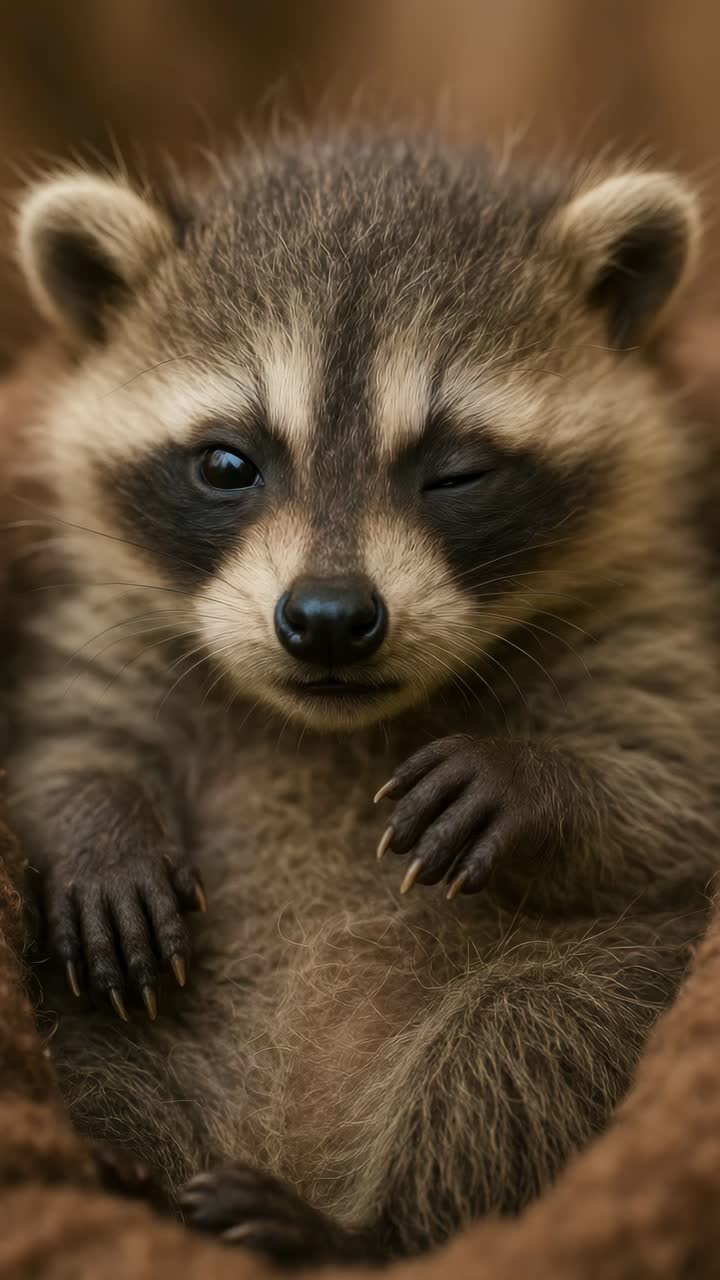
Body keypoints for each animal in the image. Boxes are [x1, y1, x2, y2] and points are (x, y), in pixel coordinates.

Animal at [7, 130, 720, 1265]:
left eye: (457, 472)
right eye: (227, 462)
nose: (331, 616)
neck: (328, 722)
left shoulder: (645, 608)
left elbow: (676, 778)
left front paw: (536, 780)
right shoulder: (107, 622)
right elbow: (62, 732)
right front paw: (95, 823)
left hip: (617, 991)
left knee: (534, 1031)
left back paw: (350, 1233)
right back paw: (135, 1179)